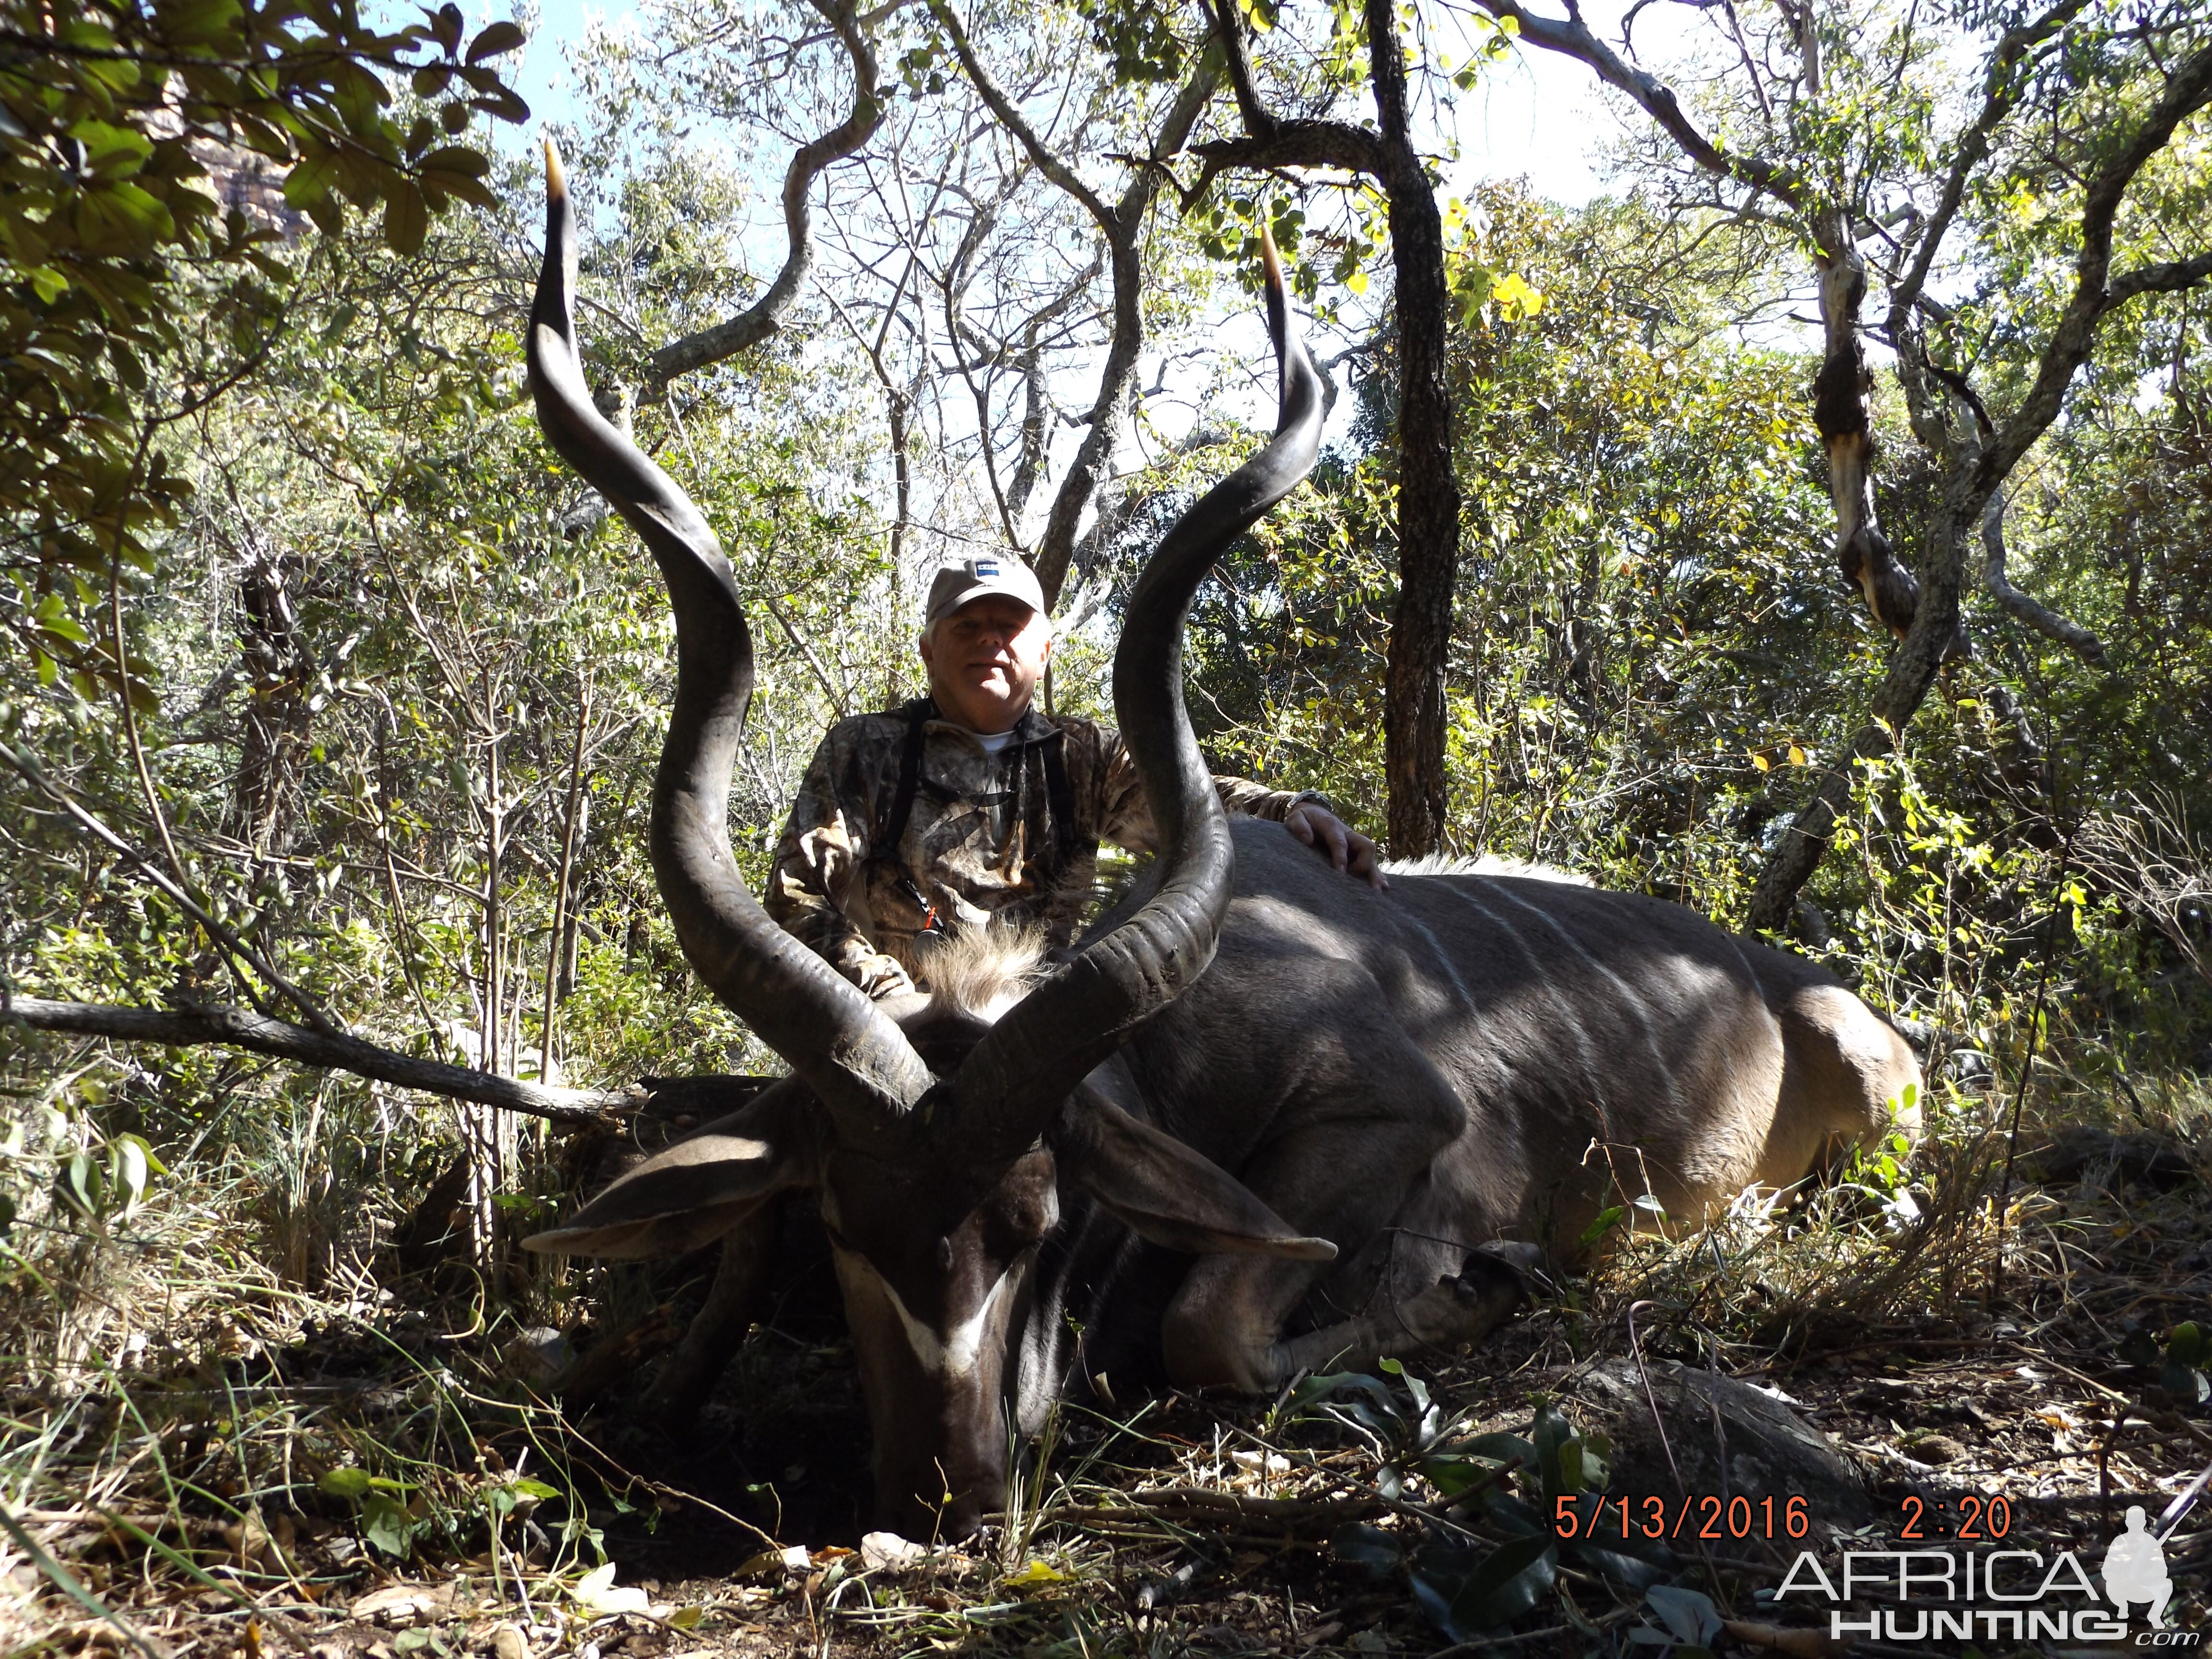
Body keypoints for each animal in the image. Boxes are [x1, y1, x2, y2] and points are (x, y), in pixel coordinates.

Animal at [517, 143, 1920, 1548]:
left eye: (1043, 1219)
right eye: (842, 1221)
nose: (945, 1492)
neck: (1171, 1055)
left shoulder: (1399, 1110)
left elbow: (1209, 1327)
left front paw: (1488, 1285)